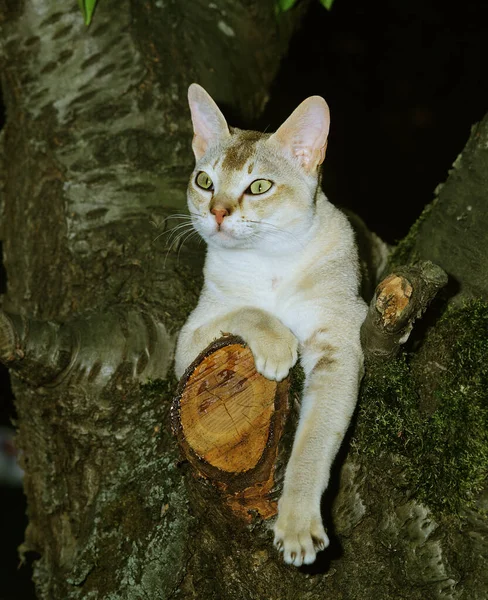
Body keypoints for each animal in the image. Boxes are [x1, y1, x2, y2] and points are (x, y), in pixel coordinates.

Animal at [175, 84, 366, 568]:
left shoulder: (342, 342)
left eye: (259, 186)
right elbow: (246, 310)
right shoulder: (188, 342)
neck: (269, 262)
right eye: (205, 181)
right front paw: (278, 343)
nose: (218, 212)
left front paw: (297, 525)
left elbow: (313, 443)